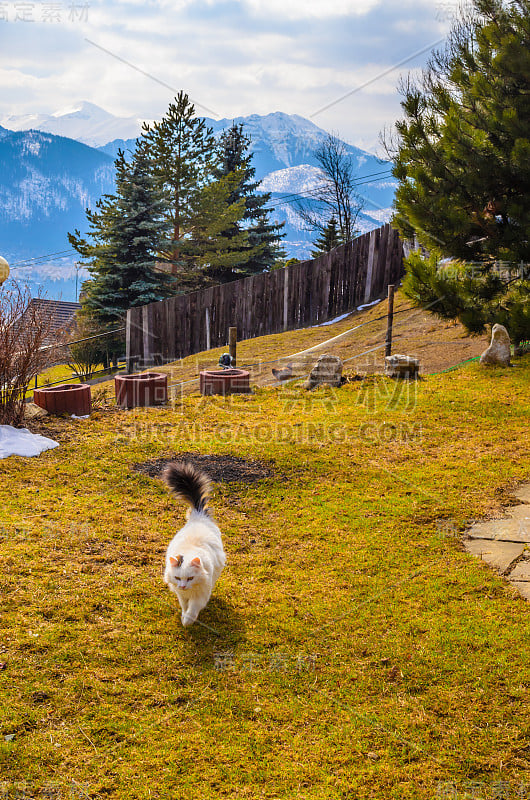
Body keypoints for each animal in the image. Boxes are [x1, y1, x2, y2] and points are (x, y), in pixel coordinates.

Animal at [163, 462, 225, 624]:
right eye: (178, 578)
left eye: (190, 578)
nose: (183, 586)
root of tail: (199, 515)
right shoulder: (181, 594)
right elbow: (185, 605)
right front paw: (183, 616)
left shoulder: (200, 595)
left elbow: (193, 609)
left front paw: (187, 622)